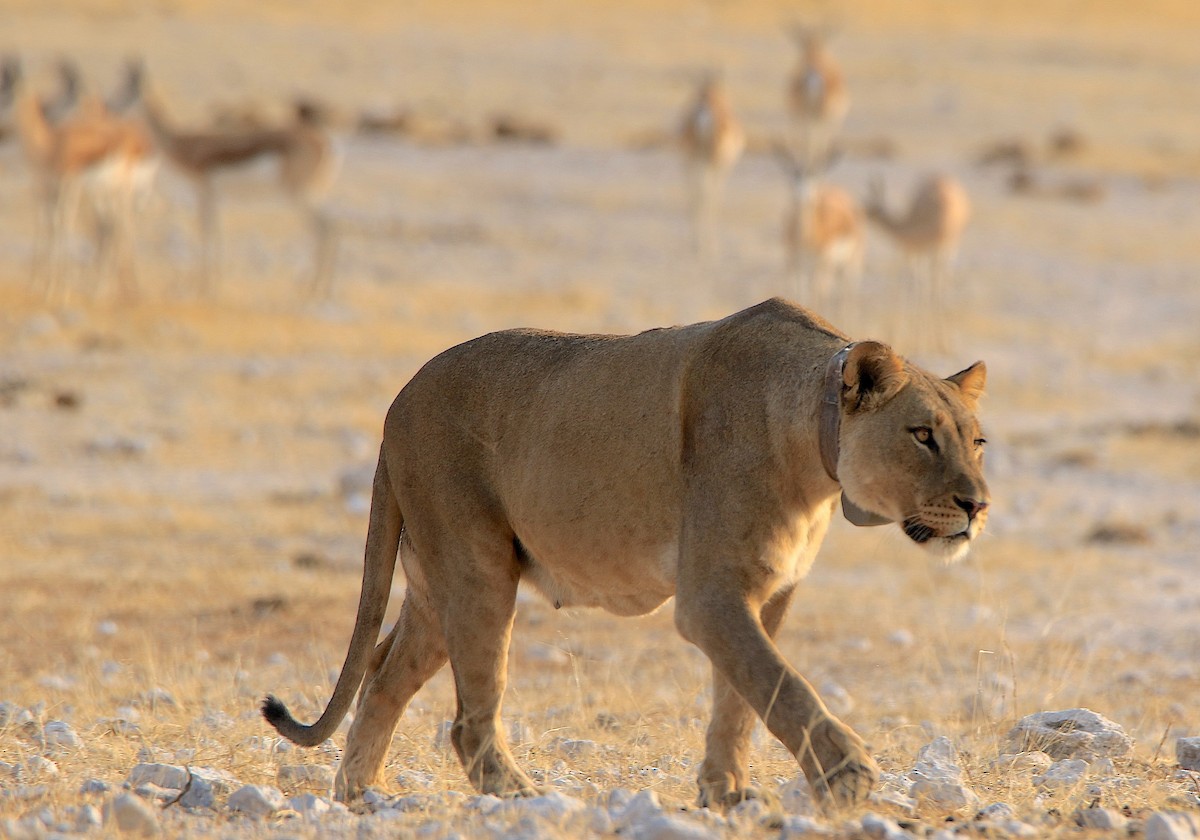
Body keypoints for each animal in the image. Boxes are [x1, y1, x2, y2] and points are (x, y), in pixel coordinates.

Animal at [263, 298, 989, 809]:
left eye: (977, 441)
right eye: (922, 435)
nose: (978, 505)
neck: (813, 456)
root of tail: (396, 406)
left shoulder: (768, 593)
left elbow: (740, 697)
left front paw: (725, 793)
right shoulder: (710, 596)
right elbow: (783, 685)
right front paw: (850, 778)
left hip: (434, 588)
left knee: (383, 676)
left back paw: (357, 797)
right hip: (478, 571)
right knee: (467, 719)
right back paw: (521, 796)